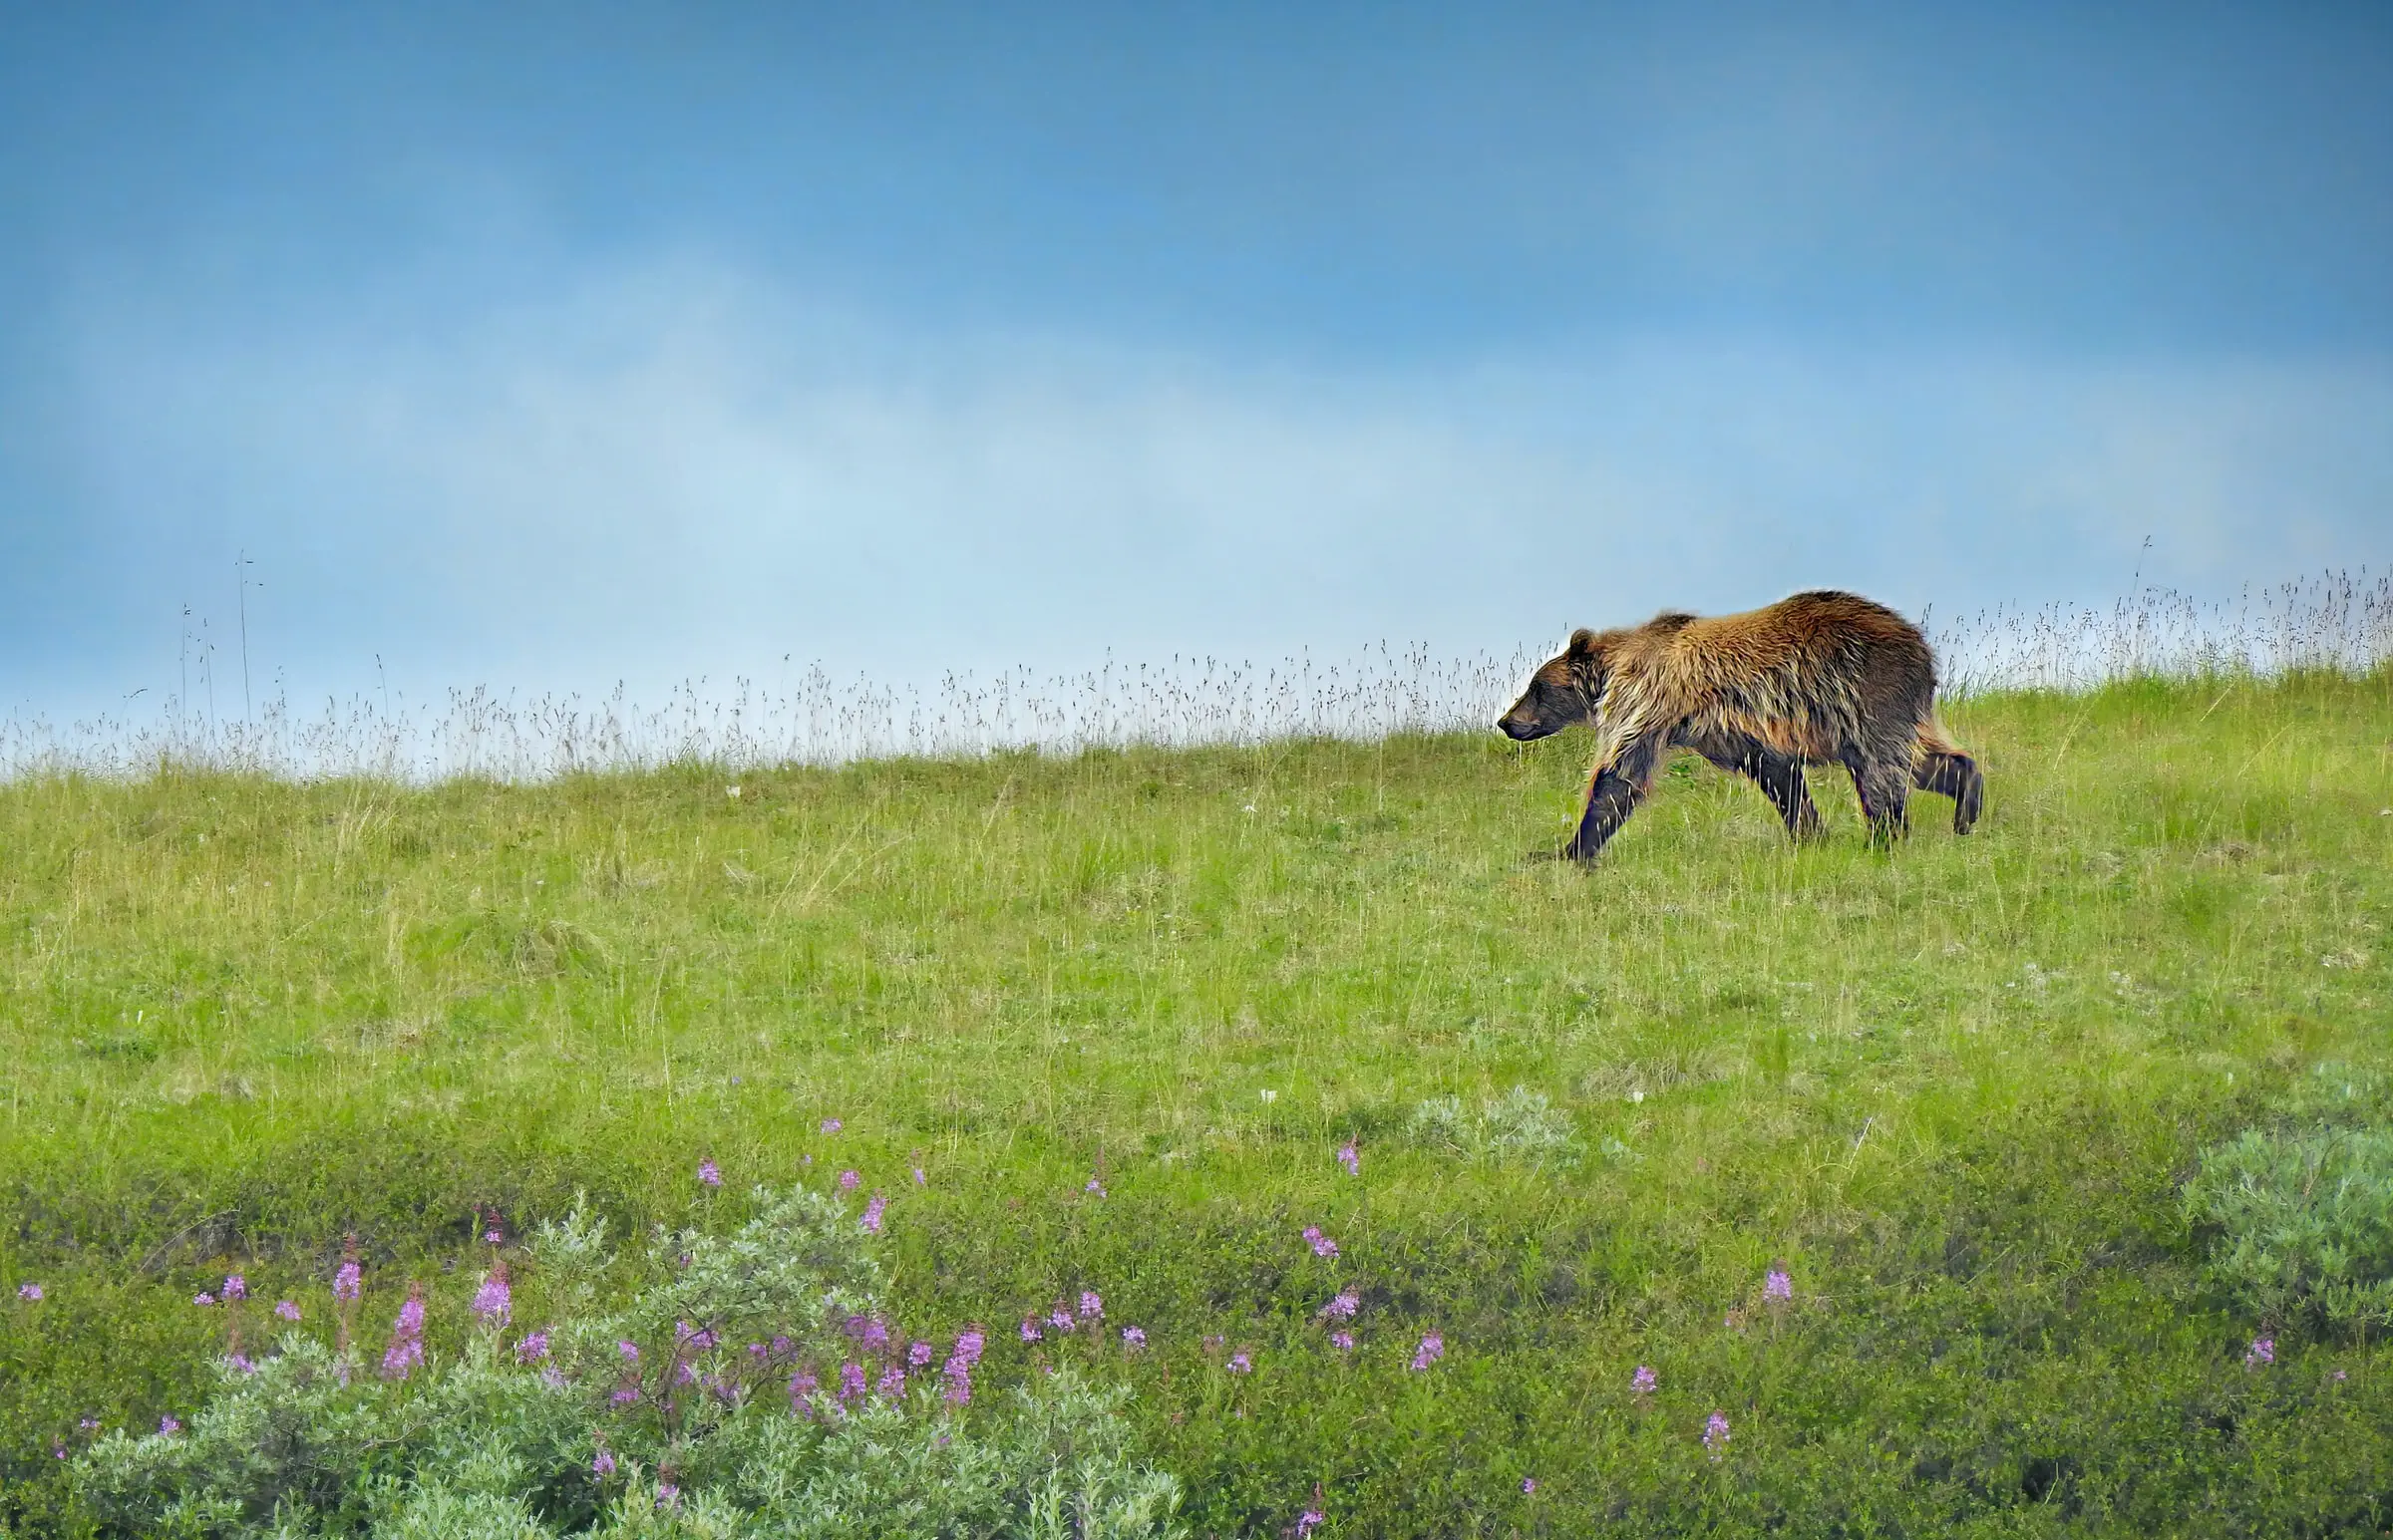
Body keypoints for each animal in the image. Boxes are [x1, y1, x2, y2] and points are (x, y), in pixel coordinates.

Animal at [1493, 590, 1981, 860]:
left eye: (1536, 686)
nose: (1506, 721)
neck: (1614, 670)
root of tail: (1920, 643)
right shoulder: (1737, 735)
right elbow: (1781, 779)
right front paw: (1809, 834)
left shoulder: (1648, 700)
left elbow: (1621, 773)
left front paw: (1564, 850)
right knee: (1919, 760)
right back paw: (1966, 805)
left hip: (1865, 691)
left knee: (1882, 769)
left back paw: (1885, 835)